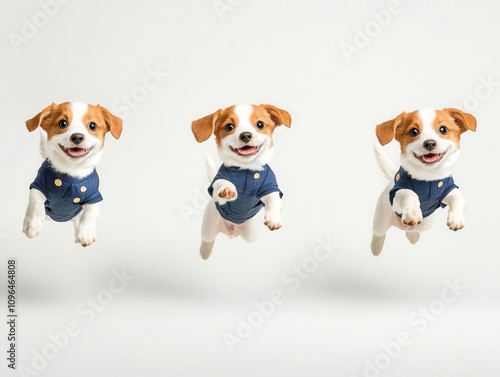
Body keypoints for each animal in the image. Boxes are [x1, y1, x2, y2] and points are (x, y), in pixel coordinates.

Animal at [23, 101, 123, 245]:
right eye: (62, 123)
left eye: (92, 125)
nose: (77, 136)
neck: (72, 171)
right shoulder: (38, 185)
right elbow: (36, 202)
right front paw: (33, 225)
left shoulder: (94, 196)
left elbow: (90, 213)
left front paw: (86, 233)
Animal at [192, 104, 292, 260]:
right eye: (229, 126)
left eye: (260, 124)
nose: (245, 135)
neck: (246, 168)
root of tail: (232, 231)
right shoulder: (218, 180)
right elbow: (221, 183)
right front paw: (227, 189)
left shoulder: (270, 186)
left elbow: (273, 198)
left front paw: (273, 218)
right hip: (209, 225)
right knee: (207, 239)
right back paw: (205, 253)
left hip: (251, 234)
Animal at [372, 108, 476, 256]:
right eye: (413, 132)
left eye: (443, 129)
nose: (430, 143)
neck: (427, 178)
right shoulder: (397, 193)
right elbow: (410, 193)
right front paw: (413, 212)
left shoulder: (448, 188)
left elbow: (458, 198)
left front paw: (456, 218)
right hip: (381, 218)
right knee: (379, 233)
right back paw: (376, 248)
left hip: (426, 224)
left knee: (413, 232)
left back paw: (412, 236)